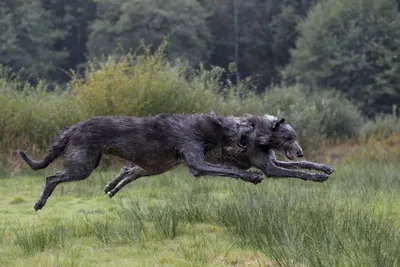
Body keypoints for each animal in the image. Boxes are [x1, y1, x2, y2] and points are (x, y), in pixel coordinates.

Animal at [104, 113, 334, 199]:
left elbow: (303, 164)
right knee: (129, 169)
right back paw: (112, 186)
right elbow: (298, 172)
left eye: (294, 136)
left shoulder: (273, 160)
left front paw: (323, 168)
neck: (261, 134)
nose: (300, 151)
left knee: (130, 170)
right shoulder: (270, 167)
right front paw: (317, 177)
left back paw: (112, 187)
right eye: (288, 137)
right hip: (159, 163)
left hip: (156, 166)